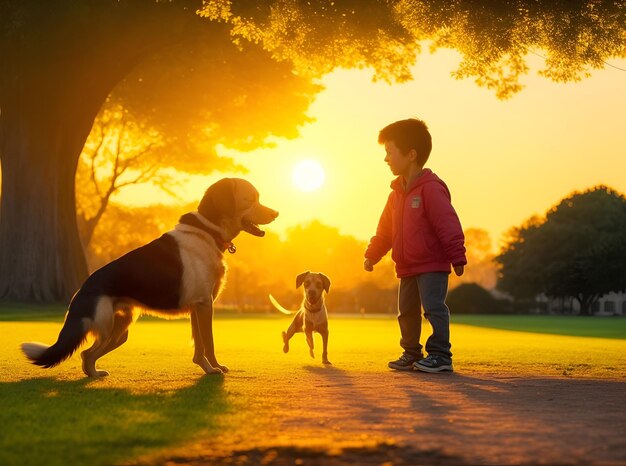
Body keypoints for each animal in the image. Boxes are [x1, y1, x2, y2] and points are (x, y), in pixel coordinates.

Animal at [22, 177, 276, 376]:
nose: (276, 213)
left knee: (87, 354)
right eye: (250, 199)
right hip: (109, 328)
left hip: (121, 331)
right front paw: (214, 369)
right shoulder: (205, 305)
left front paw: (205, 368)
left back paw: (95, 374)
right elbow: (209, 344)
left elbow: (199, 347)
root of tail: (82, 290)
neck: (208, 231)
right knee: (87, 352)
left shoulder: (198, 308)